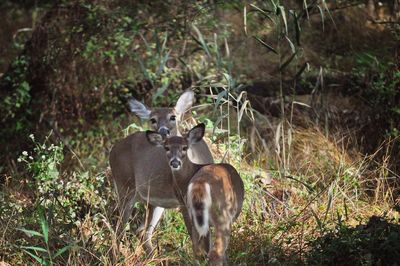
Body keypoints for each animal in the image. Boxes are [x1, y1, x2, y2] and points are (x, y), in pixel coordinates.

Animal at [108, 90, 214, 252]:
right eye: (153, 119)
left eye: (173, 117)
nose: (163, 131)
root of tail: (112, 150)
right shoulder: (183, 201)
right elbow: (194, 234)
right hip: (124, 187)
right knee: (120, 230)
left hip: (152, 200)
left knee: (143, 234)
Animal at [146, 123, 244, 264]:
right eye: (166, 148)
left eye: (184, 147)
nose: (175, 162)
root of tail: (201, 183)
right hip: (223, 216)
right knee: (216, 252)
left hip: (198, 217)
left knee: (198, 250)